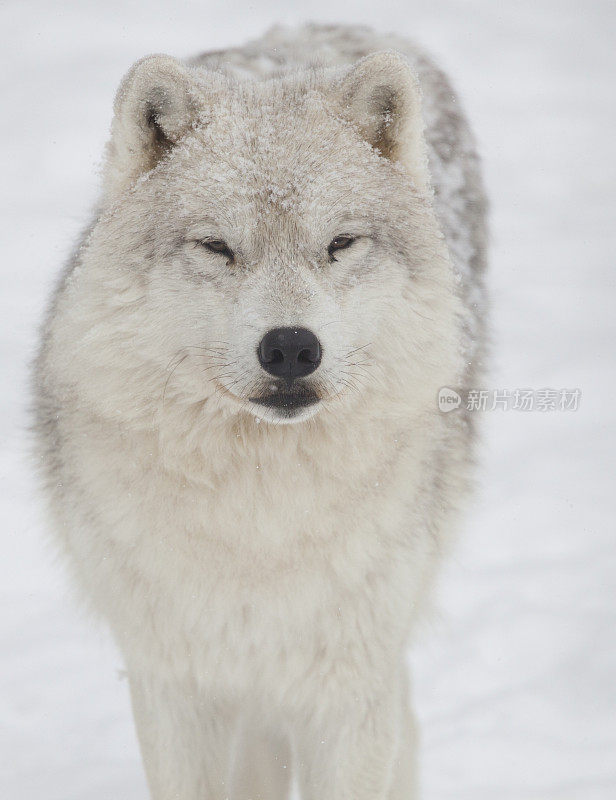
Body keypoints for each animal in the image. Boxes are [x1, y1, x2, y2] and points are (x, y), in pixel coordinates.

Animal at [33, 23, 486, 800]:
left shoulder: (347, 688)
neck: (262, 517)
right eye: (218, 247)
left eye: (340, 244)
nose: (291, 348)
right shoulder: (174, 683)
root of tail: (345, 27)